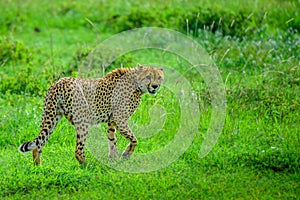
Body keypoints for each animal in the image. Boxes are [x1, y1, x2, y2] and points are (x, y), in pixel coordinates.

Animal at [18, 64, 164, 166]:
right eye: (148, 77)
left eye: (159, 77)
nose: (155, 86)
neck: (136, 84)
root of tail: (59, 82)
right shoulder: (120, 119)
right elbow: (134, 139)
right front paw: (125, 155)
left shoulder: (111, 121)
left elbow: (112, 140)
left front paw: (114, 160)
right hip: (81, 121)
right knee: (78, 150)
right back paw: (88, 166)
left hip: (51, 117)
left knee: (38, 144)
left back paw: (38, 167)